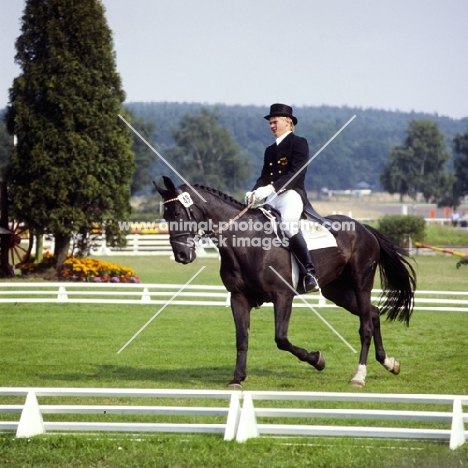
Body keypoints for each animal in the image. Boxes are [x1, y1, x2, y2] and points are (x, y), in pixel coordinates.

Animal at [154, 176, 416, 388]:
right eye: (165, 216)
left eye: (177, 214)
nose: (181, 255)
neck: (246, 242)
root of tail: (364, 229)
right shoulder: (238, 298)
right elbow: (242, 338)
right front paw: (237, 378)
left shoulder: (282, 296)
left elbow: (281, 339)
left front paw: (318, 360)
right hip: (336, 291)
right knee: (372, 313)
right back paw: (389, 363)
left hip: (361, 283)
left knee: (365, 326)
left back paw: (359, 376)